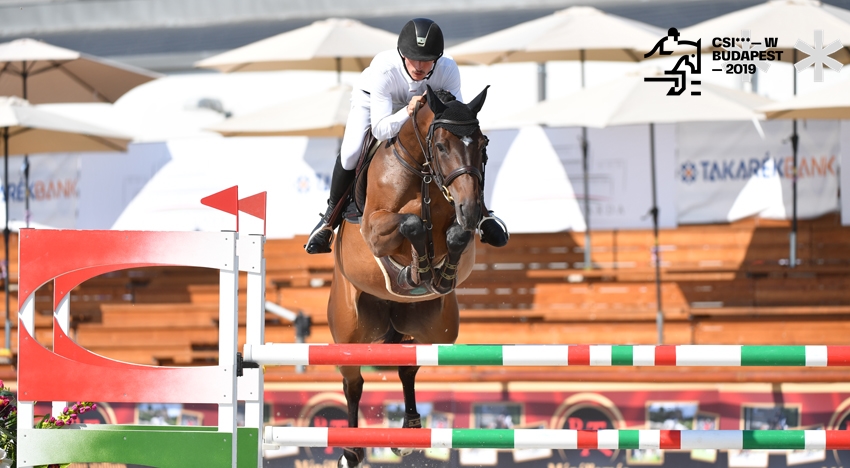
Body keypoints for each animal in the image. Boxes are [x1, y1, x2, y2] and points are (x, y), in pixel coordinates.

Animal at [330, 85, 490, 468]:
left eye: (483, 143)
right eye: (442, 145)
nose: (471, 209)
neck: (424, 174)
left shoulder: (462, 233)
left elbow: (455, 236)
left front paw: (437, 274)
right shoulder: (374, 229)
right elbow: (413, 222)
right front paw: (418, 268)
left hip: (433, 330)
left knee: (408, 367)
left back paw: (409, 431)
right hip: (350, 332)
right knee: (352, 383)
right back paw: (351, 450)